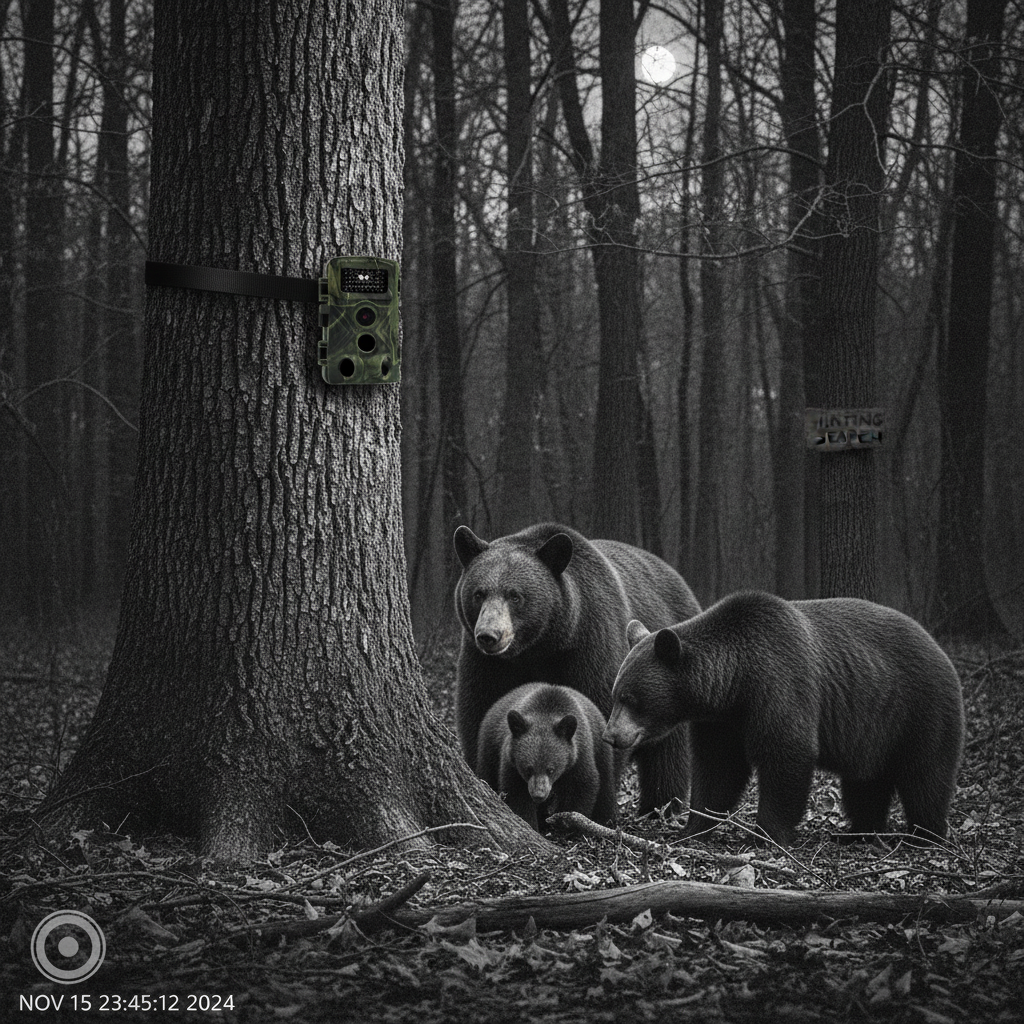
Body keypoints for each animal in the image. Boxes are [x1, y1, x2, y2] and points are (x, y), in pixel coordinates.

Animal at [454, 521, 701, 815]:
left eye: (515, 595)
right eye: (479, 593)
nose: (489, 636)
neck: (539, 646)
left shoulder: (591, 645)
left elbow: (600, 715)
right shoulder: (485, 664)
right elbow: (479, 715)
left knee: (669, 754)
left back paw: (661, 807)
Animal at [476, 682, 619, 831]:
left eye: (551, 769)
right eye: (528, 769)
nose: (539, 794)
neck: (545, 713)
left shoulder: (579, 757)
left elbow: (582, 786)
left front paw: (567, 825)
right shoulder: (511, 761)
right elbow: (516, 794)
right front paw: (530, 824)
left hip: (601, 750)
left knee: (606, 784)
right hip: (489, 749)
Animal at [603, 591, 965, 846]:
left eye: (630, 699)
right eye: (616, 693)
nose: (610, 736)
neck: (735, 680)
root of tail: (941, 650)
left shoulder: (779, 683)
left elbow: (787, 752)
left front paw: (765, 835)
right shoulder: (723, 720)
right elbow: (718, 768)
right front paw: (690, 829)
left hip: (920, 711)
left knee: (926, 776)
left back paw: (924, 835)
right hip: (874, 729)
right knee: (865, 782)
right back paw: (858, 831)